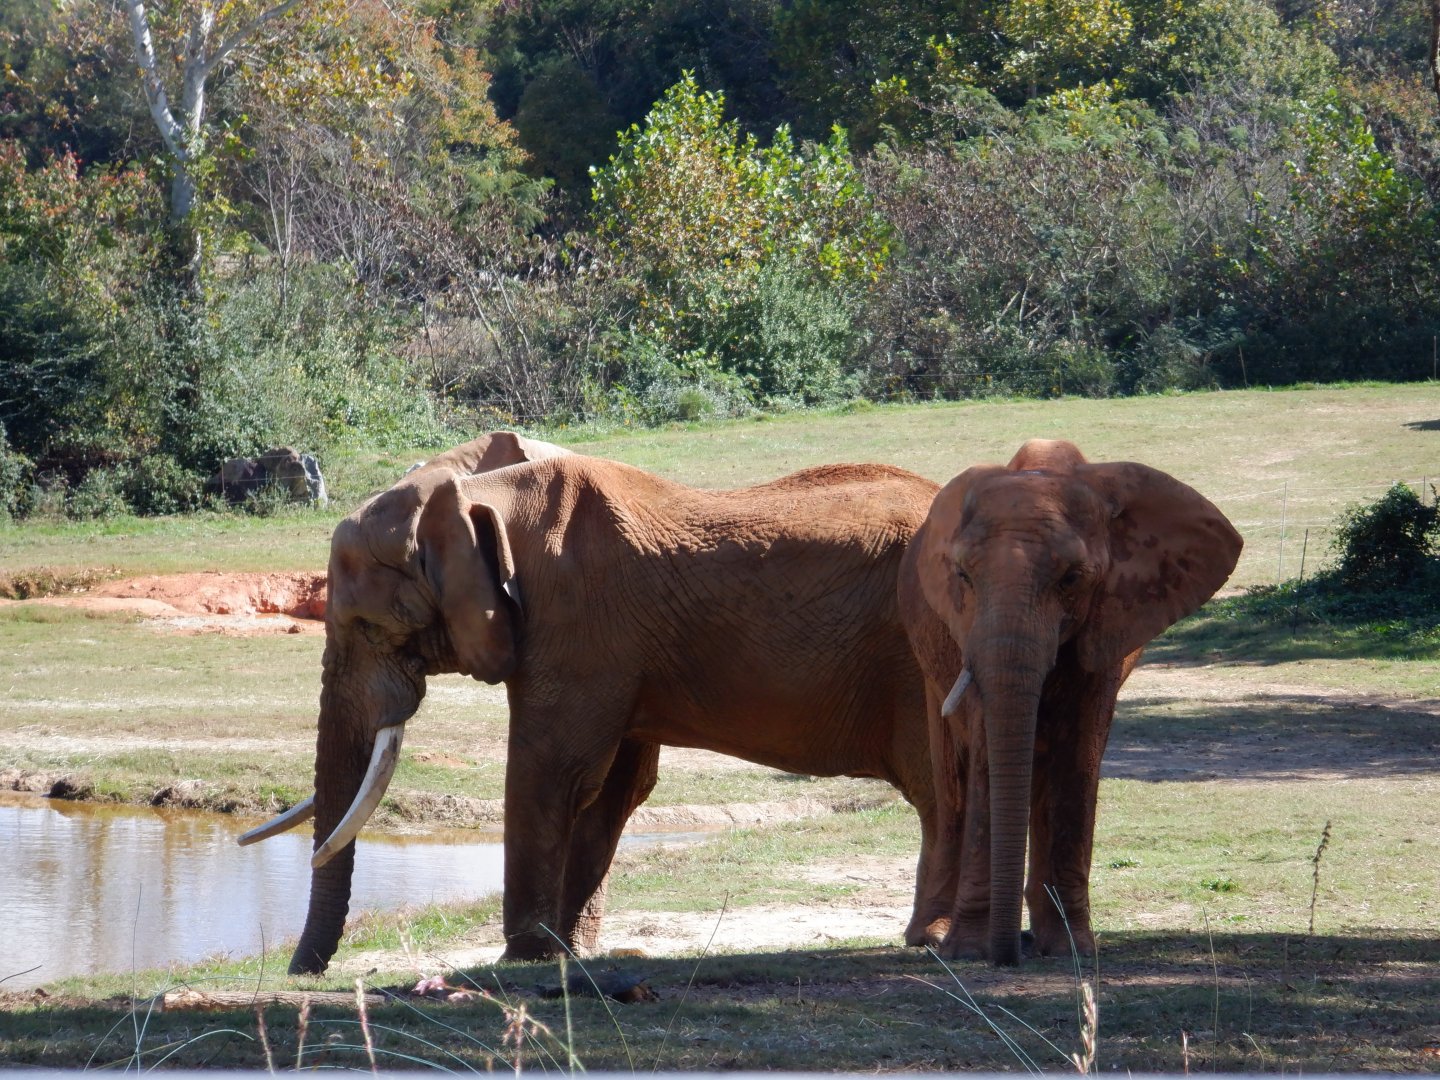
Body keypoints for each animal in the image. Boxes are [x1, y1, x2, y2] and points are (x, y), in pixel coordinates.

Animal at [242, 449, 951, 974]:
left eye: (369, 624)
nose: (300, 973)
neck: (482, 500)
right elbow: (613, 788)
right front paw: (571, 954)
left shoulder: (577, 623)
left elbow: (552, 772)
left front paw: (524, 958)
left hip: (920, 655)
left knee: (938, 786)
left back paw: (931, 938)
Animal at [897, 439, 1242, 966]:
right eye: (962, 576)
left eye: (1072, 578)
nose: (1009, 953)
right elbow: (985, 751)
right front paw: (968, 951)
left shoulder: (1111, 620)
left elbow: (1079, 753)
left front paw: (1070, 949)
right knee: (953, 781)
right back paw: (934, 938)